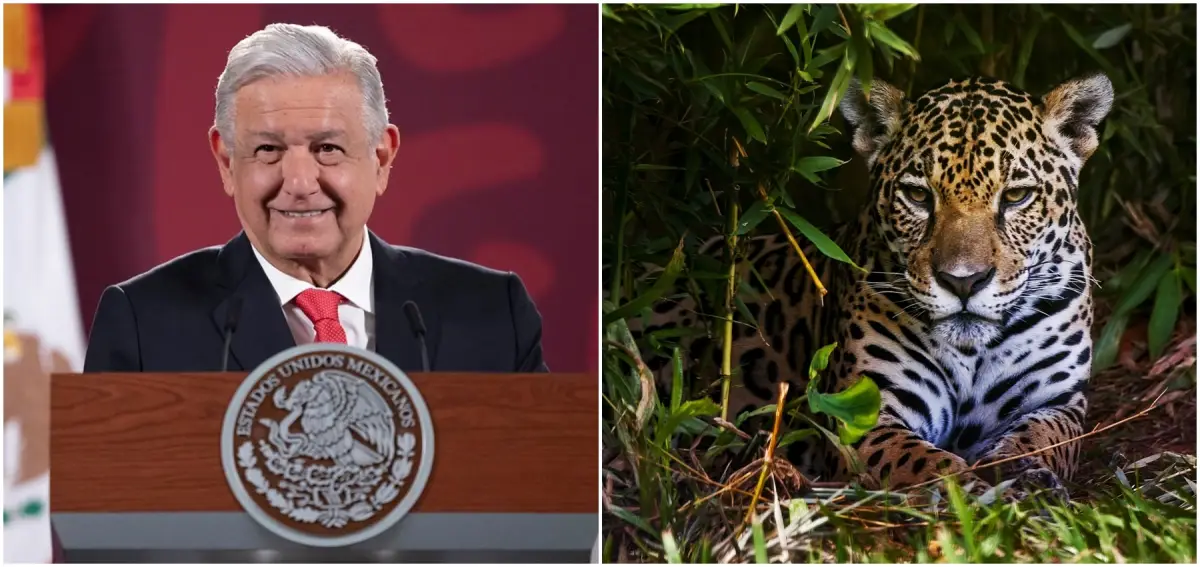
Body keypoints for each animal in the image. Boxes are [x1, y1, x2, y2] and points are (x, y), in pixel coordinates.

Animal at [630, 73, 1114, 500]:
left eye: (1016, 196)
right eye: (918, 197)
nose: (963, 281)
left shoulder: (1056, 403)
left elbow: (1042, 440)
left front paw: (1024, 477)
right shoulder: (864, 414)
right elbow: (925, 463)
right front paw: (974, 492)